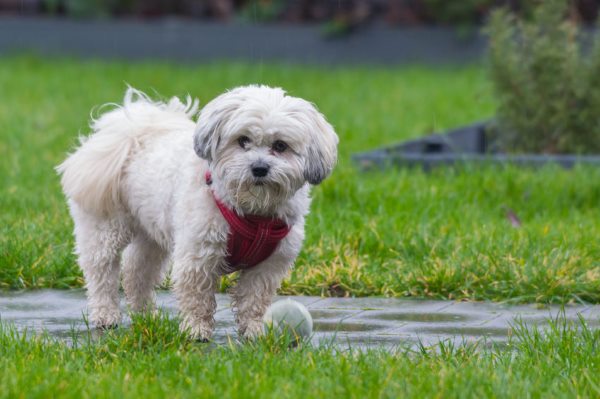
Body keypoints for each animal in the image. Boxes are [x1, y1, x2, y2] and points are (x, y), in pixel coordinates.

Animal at [58, 85, 340, 340]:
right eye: (243, 140)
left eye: (280, 146)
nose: (259, 168)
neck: (253, 213)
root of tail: (134, 133)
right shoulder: (198, 253)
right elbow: (197, 297)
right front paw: (196, 330)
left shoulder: (269, 265)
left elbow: (254, 299)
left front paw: (254, 330)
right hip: (105, 227)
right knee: (101, 272)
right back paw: (105, 315)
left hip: (151, 233)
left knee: (137, 271)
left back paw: (146, 316)